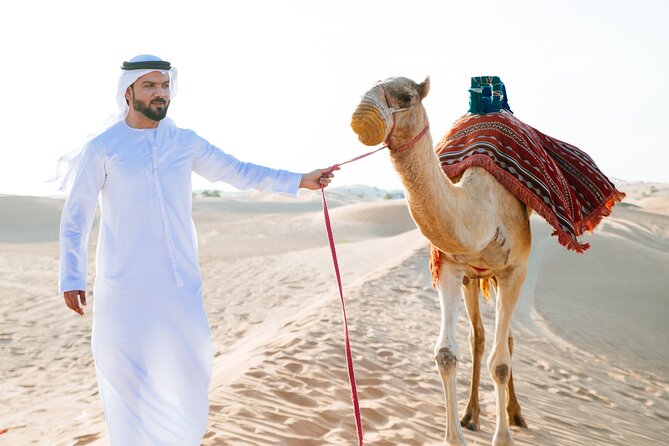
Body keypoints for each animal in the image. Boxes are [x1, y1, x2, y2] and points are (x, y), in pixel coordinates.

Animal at [350, 77, 532, 446]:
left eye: (406, 96)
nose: (361, 116)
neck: (480, 211)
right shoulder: (450, 265)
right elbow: (446, 354)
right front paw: (454, 436)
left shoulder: (514, 269)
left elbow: (501, 363)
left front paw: (503, 437)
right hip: (473, 279)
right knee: (479, 337)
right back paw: (471, 414)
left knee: (504, 342)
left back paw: (515, 415)